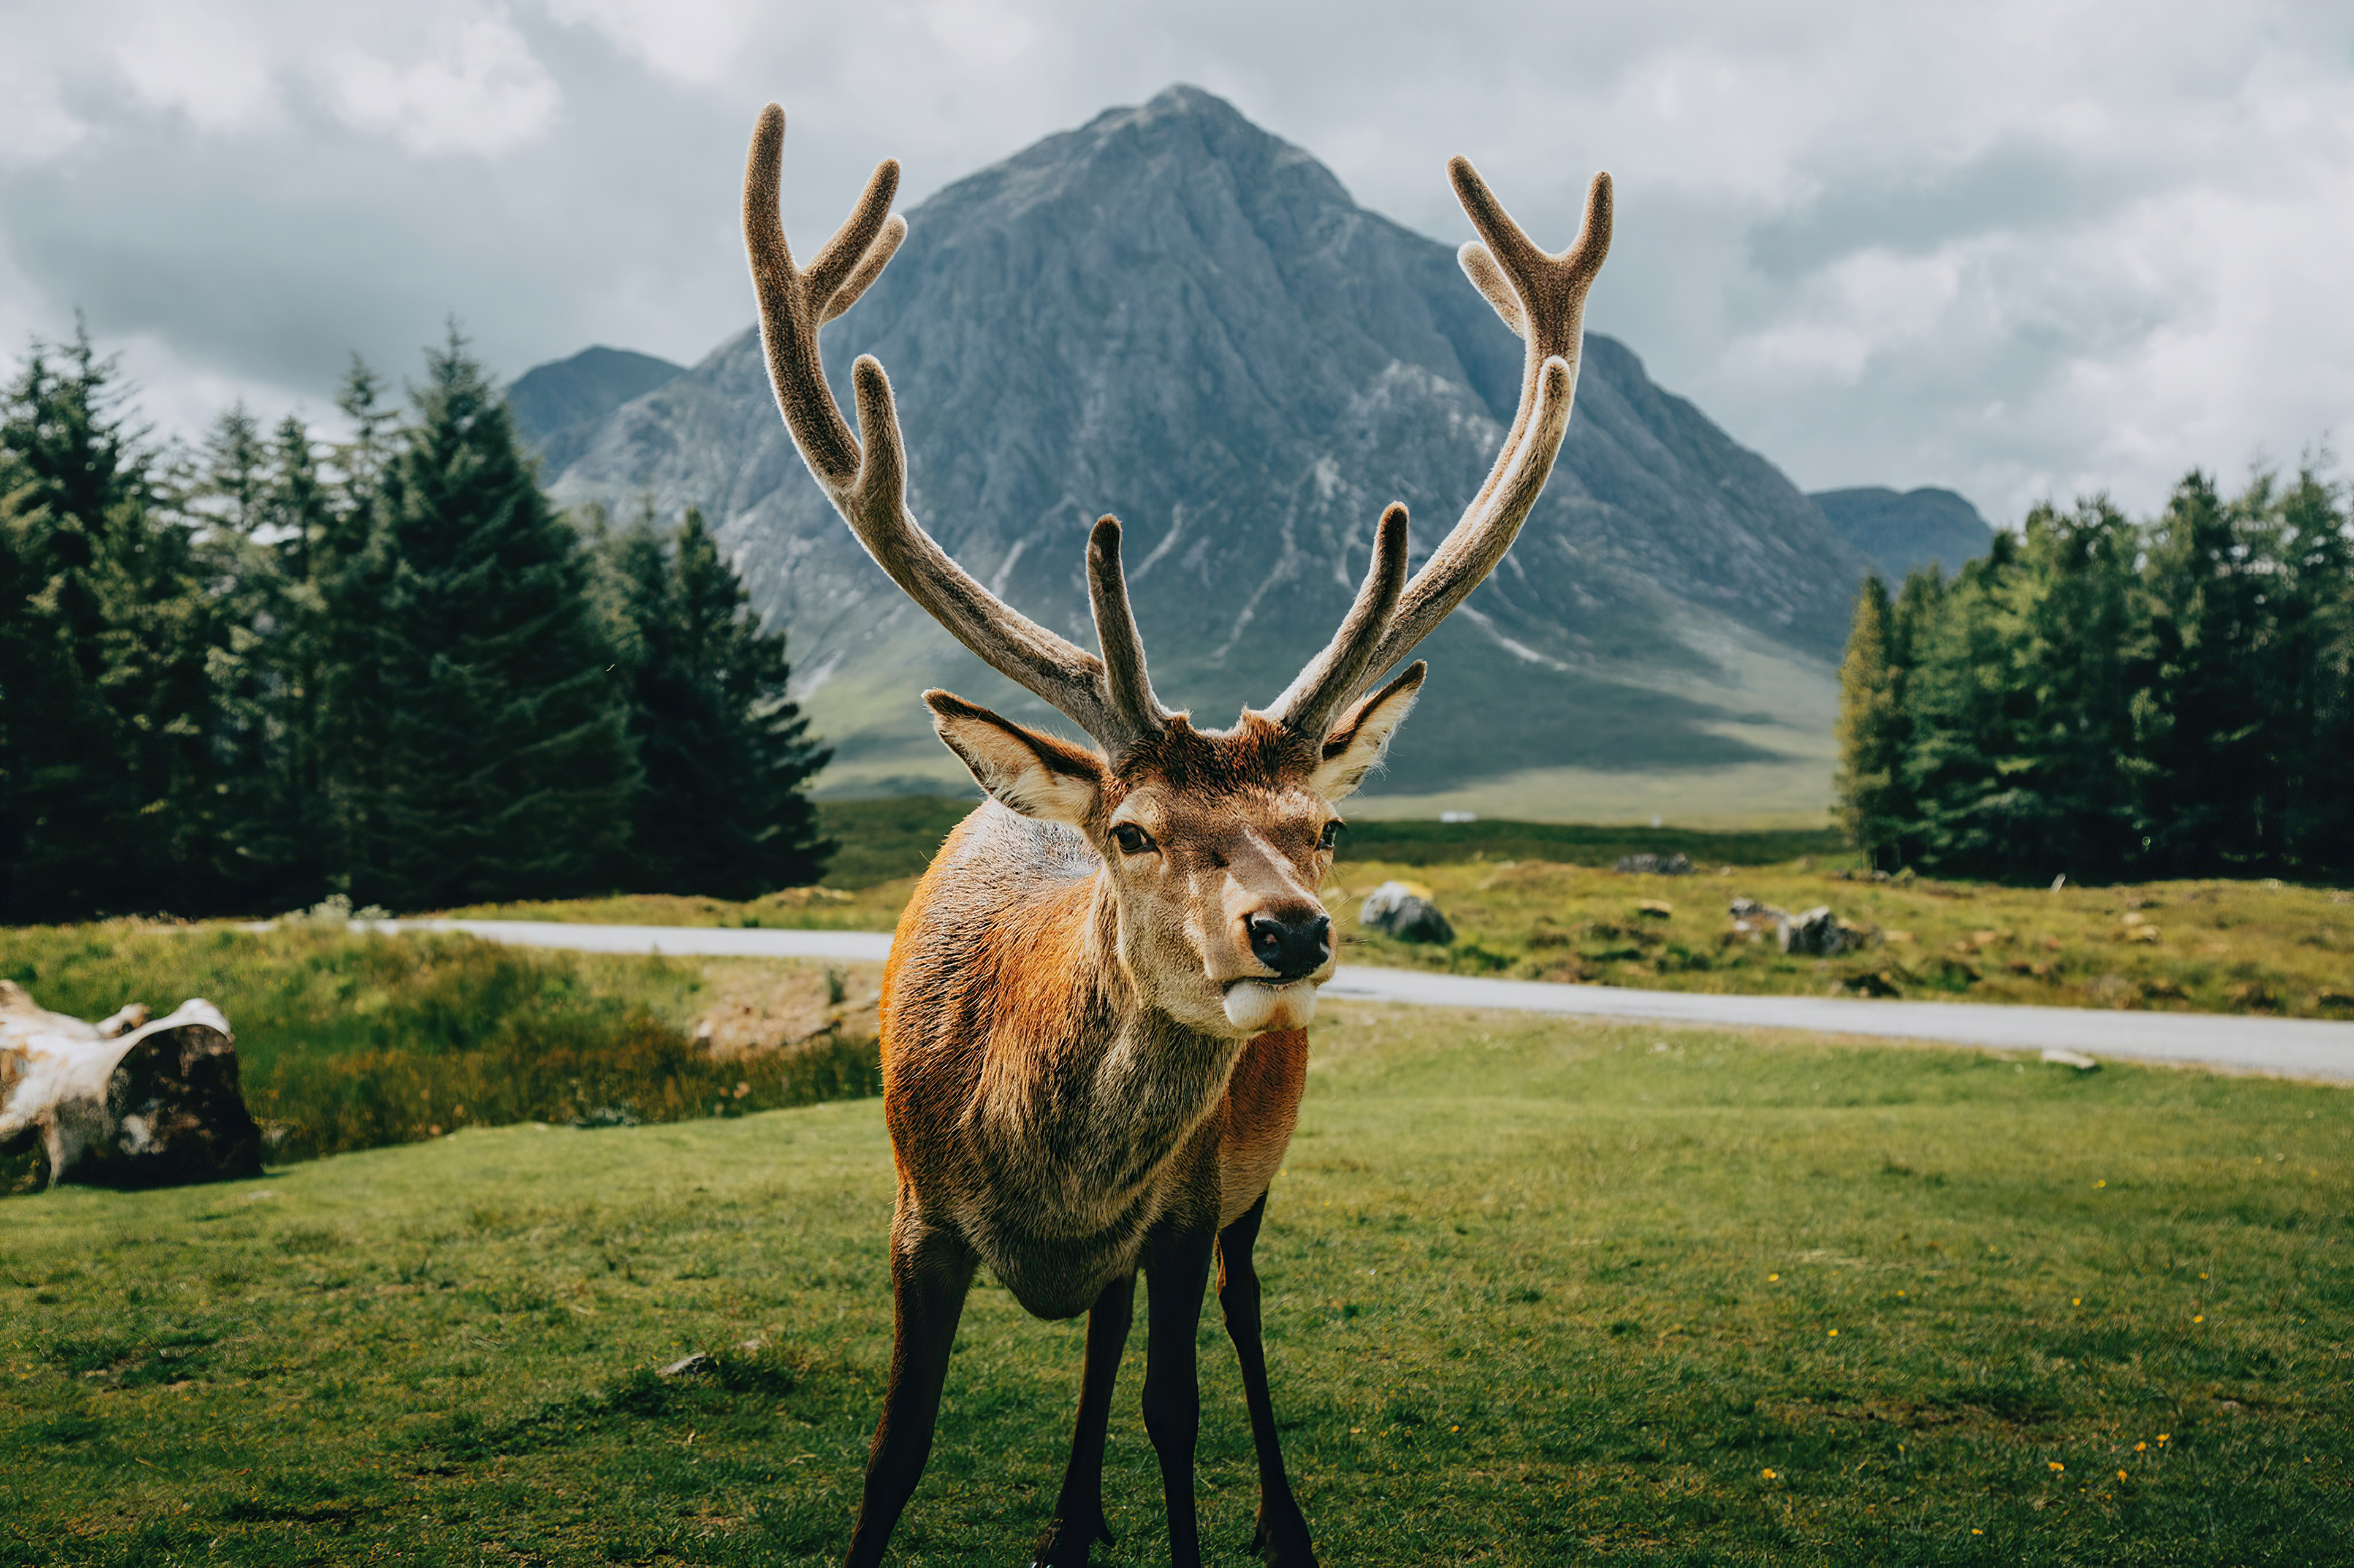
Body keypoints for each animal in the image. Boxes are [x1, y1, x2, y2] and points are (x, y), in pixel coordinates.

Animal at [744, 103, 1610, 1553]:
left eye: (1325, 825)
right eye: (1136, 830)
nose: (1291, 931)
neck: (1048, 1180)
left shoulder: (1184, 1205)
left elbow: (1176, 1412)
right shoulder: (916, 1212)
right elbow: (895, 1449)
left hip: (1254, 1173)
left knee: (1235, 1307)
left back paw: (1272, 1518)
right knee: (1096, 1334)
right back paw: (1071, 1518)